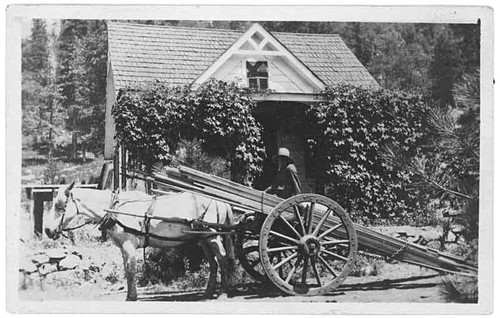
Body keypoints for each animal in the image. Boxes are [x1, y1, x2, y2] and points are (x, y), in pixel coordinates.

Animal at [44, 181, 235, 300]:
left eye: (60, 206)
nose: (47, 230)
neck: (114, 209)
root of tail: (221, 200)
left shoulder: (129, 245)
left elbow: (130, 270)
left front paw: (132, 297)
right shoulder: (122, 247)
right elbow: (127, 270)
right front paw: (130, 295)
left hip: (213, 236)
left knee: (223, 259)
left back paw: (222, 292)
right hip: (203, 239)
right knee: (213, 263)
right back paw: (208, 293)